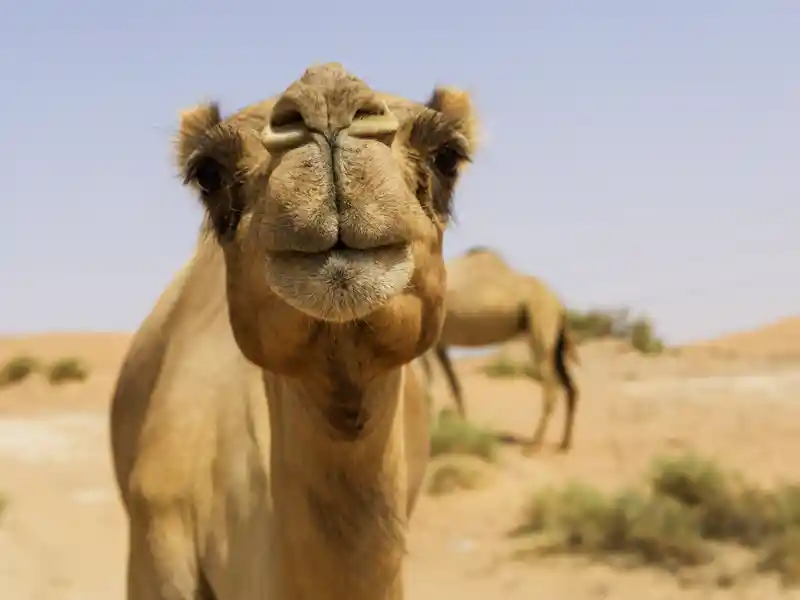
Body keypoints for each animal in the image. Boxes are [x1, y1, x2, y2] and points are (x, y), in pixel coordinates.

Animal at [418, 247, 580, 450]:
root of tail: (560, 305)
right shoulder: (440, 343)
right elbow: (455, 386)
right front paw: (463, 429)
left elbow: (428, 391)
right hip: (556, 340)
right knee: (571, 386)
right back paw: (564, 444)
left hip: (541, 319)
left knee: (550, 385)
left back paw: (534, 445)